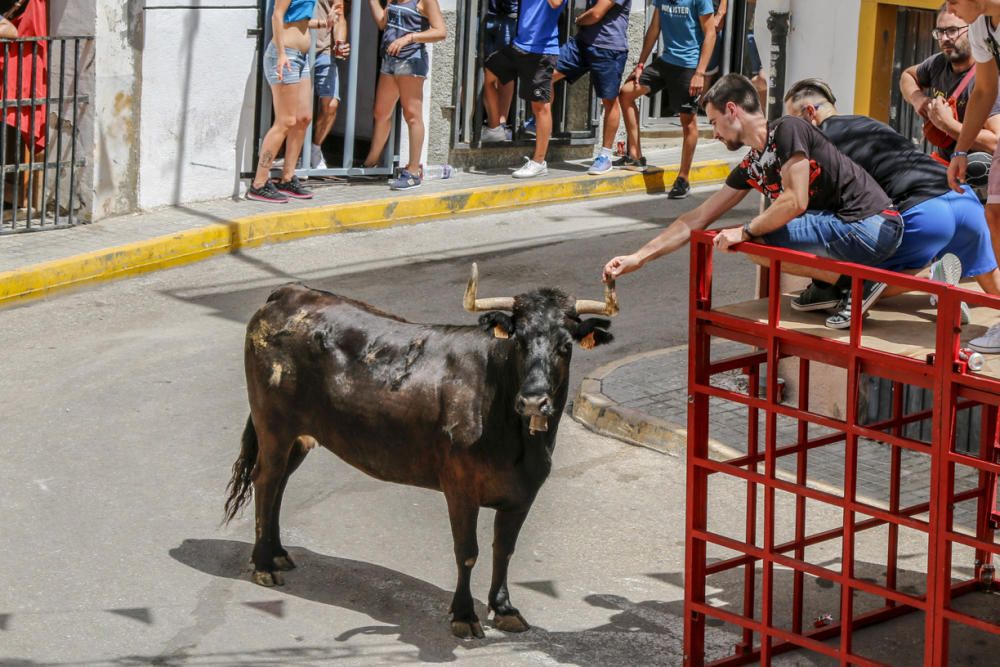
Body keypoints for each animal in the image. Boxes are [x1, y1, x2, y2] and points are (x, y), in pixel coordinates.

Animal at [225, 266, 616, 636]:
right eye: (518, 341)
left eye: (565, 346)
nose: (534, 400)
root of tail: (289, 292)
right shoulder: (460, 488)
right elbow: (468, 552)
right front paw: (463, 615)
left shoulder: (524, 493)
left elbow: (503, 549)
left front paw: (504, 609)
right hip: (273, 425)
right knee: (266, 480)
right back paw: (263, 565)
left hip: (299, 436)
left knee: (279, 484)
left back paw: (278, 554)